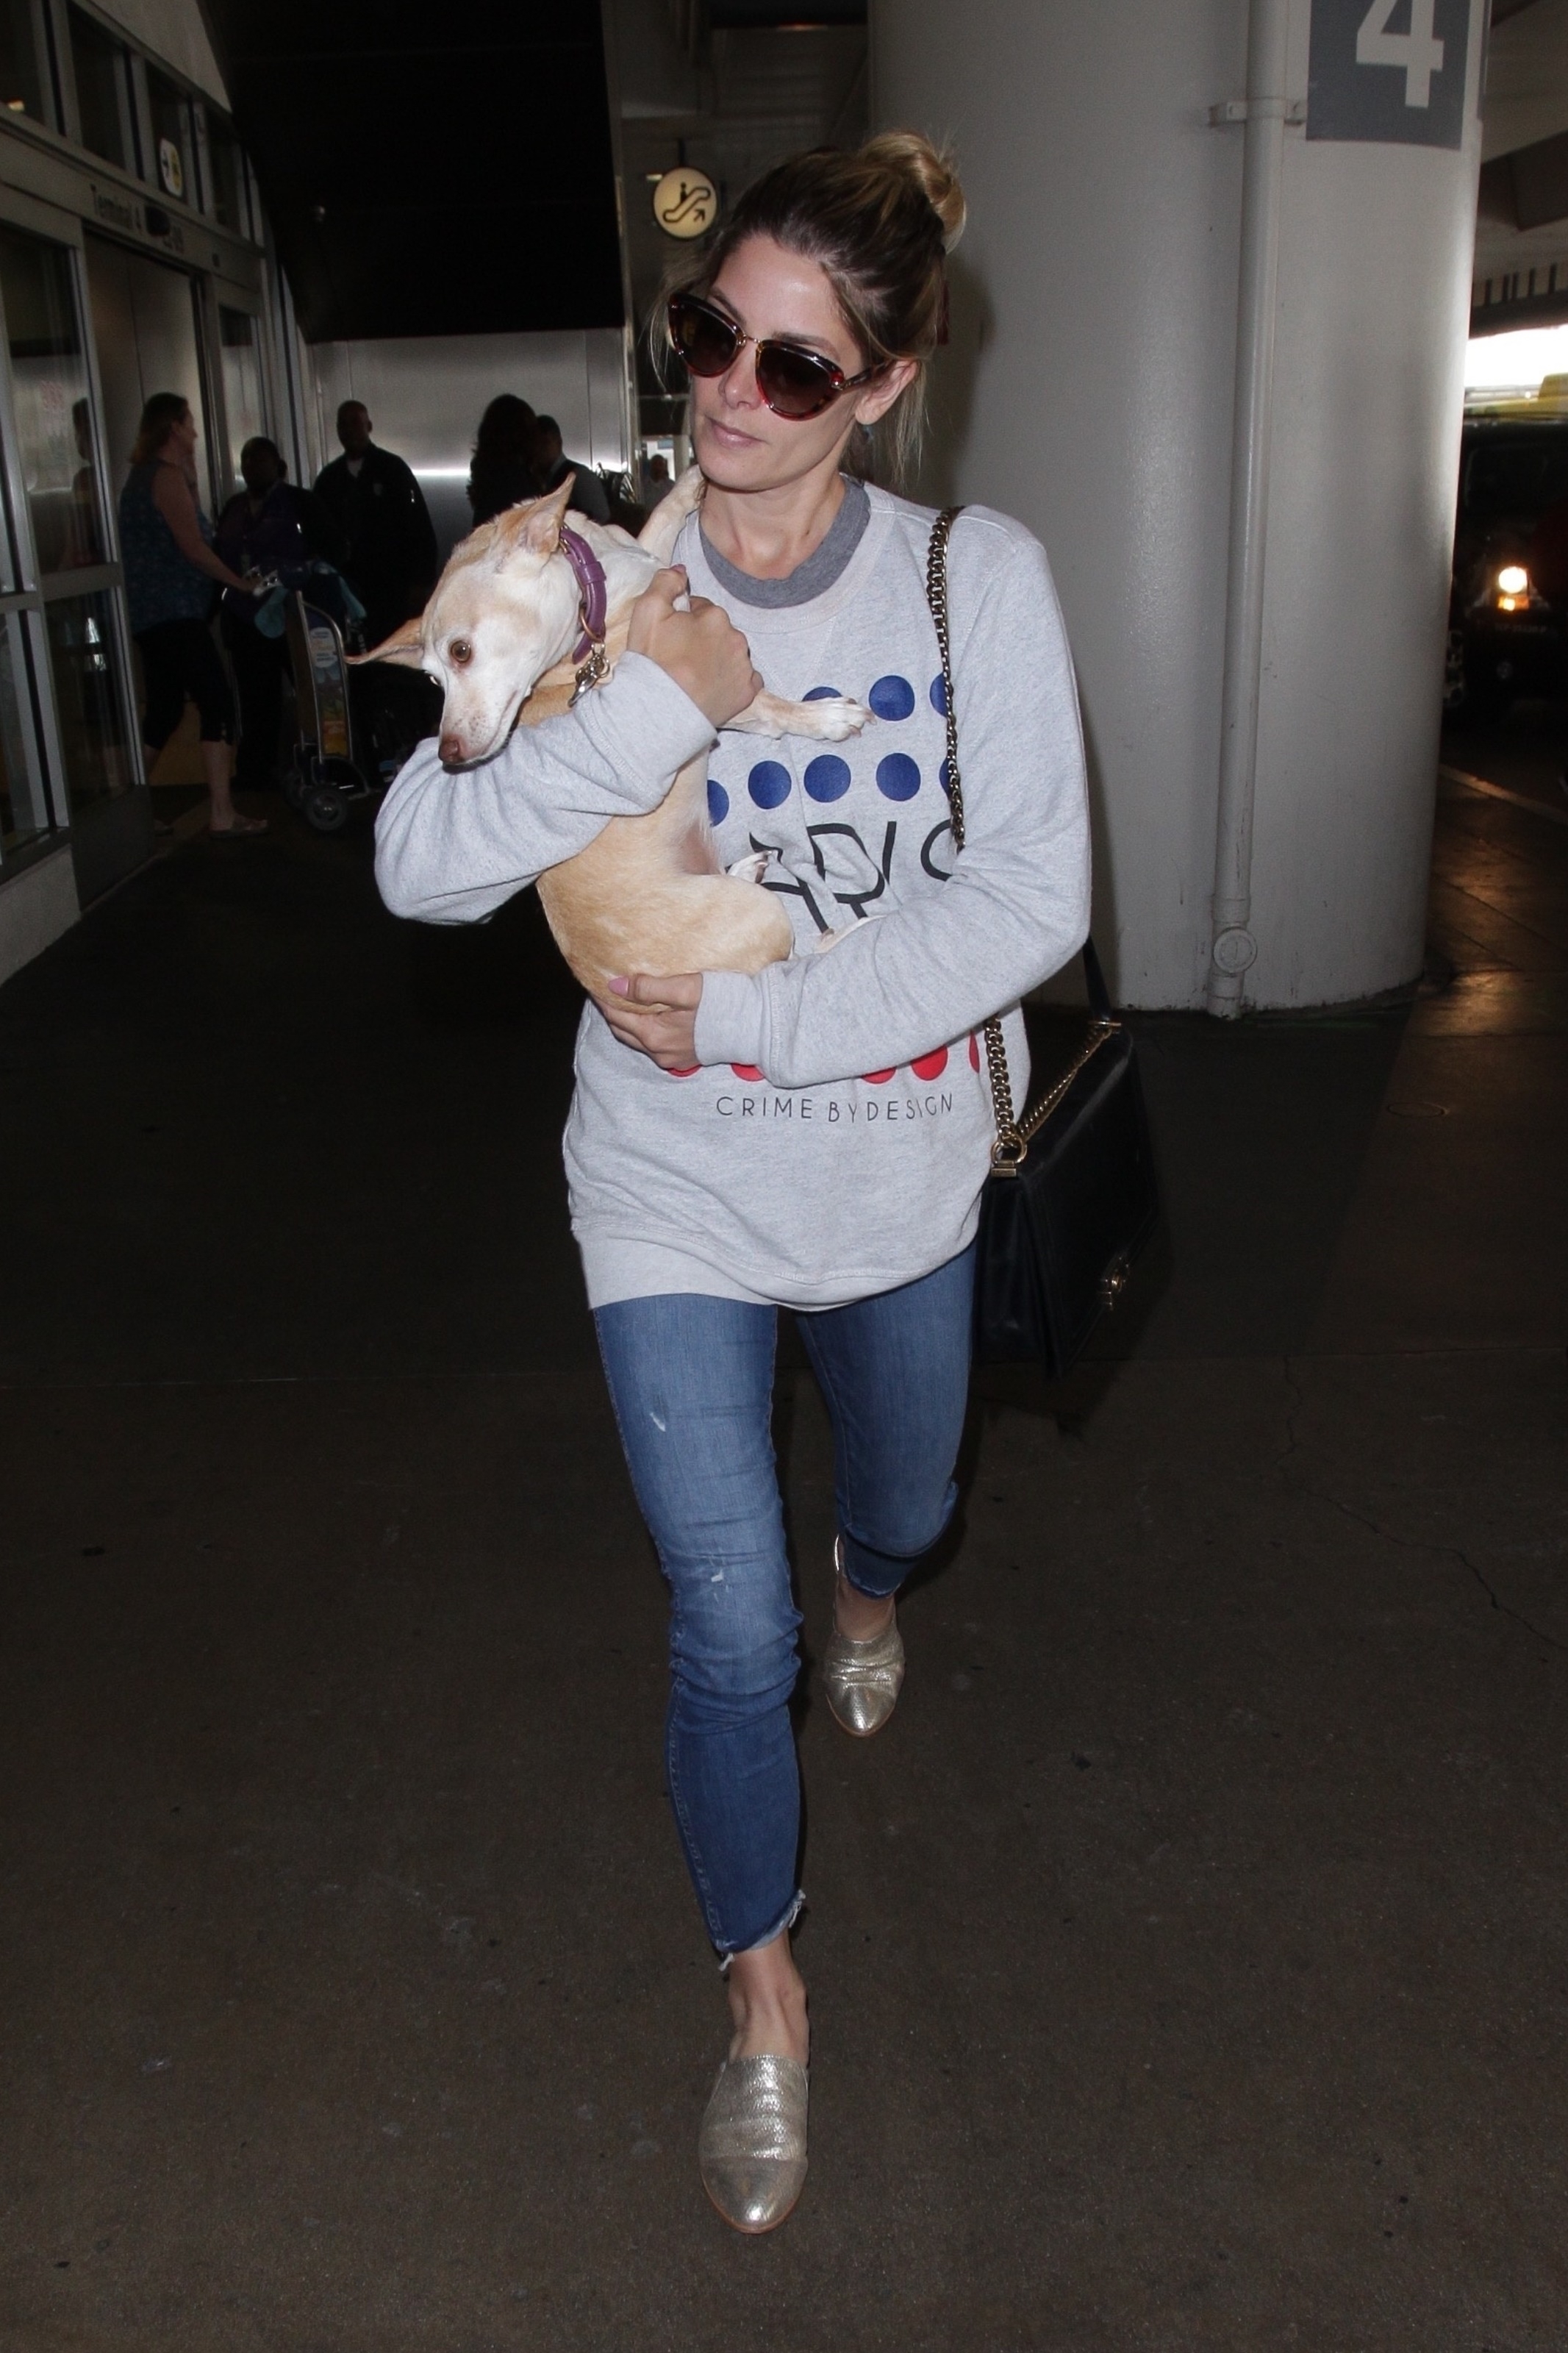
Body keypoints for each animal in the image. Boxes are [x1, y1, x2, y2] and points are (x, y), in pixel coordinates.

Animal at [359, 469, 871, 998]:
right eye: (434, 681)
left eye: (458, 654)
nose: (449, 753)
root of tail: (610, 987)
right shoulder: (720, 694)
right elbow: (777, 711)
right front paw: (827, 717)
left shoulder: (654, 560)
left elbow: (660, 524)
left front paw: (690, 485)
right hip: (763, 918)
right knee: (784, 970)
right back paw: (850, 932)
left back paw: (747, 871)